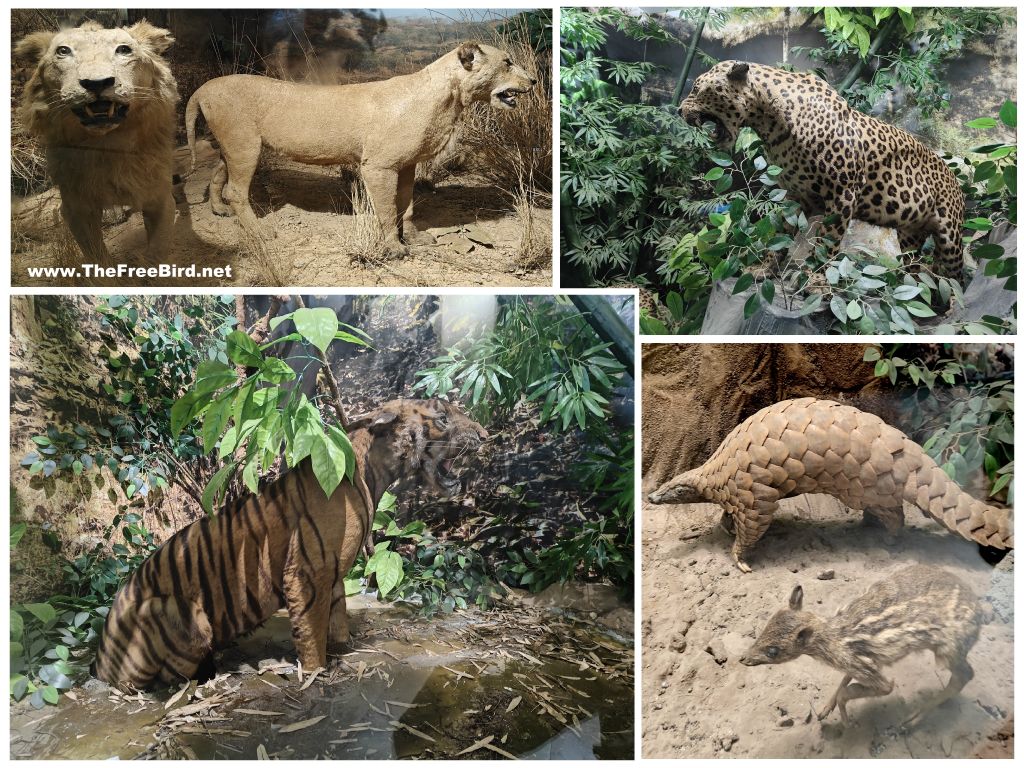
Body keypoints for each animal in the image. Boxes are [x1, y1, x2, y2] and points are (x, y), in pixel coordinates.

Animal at [16, 20, 179, 264]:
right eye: (63, 51)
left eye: (123, 49)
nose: (97, 83)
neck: (108, 146)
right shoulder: (76, 208)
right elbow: (96, 257)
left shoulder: (159, 197)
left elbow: (157, 254)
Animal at [93, 399, 487, 696]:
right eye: (442, 418)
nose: (485, 434)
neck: (373, 474)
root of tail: (100, 662)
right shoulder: (307, 573)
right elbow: (311, 629)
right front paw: (316, 671)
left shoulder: (333, 574)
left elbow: (337, 615)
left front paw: (342, 647)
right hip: (175, 612)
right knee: (162, 679)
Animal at [185, 41, 536, 259]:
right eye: (507, 62)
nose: (533, 80)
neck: (451, 98)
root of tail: (202, 88)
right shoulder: (378, 166)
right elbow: (386, 209)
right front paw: (395, 249)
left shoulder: (406, 165)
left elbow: (406, 204)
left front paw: (413, 236)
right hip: (245, 146)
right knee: (236, 190)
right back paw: (259, 231)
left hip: (233, 146)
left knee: (217, 176)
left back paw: (218, 210)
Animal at [684, 60, 962, 282]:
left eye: (696, 88)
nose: (679, 110)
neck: (770, 123)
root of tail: (955, 178)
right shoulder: (794, 196)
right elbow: (780, 233)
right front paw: (763, 269)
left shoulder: (843, 194)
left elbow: (828, 241)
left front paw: (817, 280)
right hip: (910, 234)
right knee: (915, 264)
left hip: (950, 234)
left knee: (956, 275)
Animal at [737, 565, 991, 729]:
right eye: (764, 628)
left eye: (773, 651)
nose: (743, 659)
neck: (832, 637)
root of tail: (981, 613)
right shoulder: (863, 661)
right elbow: (843, 682)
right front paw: (824, 709)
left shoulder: (868, 671)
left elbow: (862, 689)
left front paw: (847, 722)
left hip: (948, 649)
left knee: (966, 675)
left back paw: (912, 720)